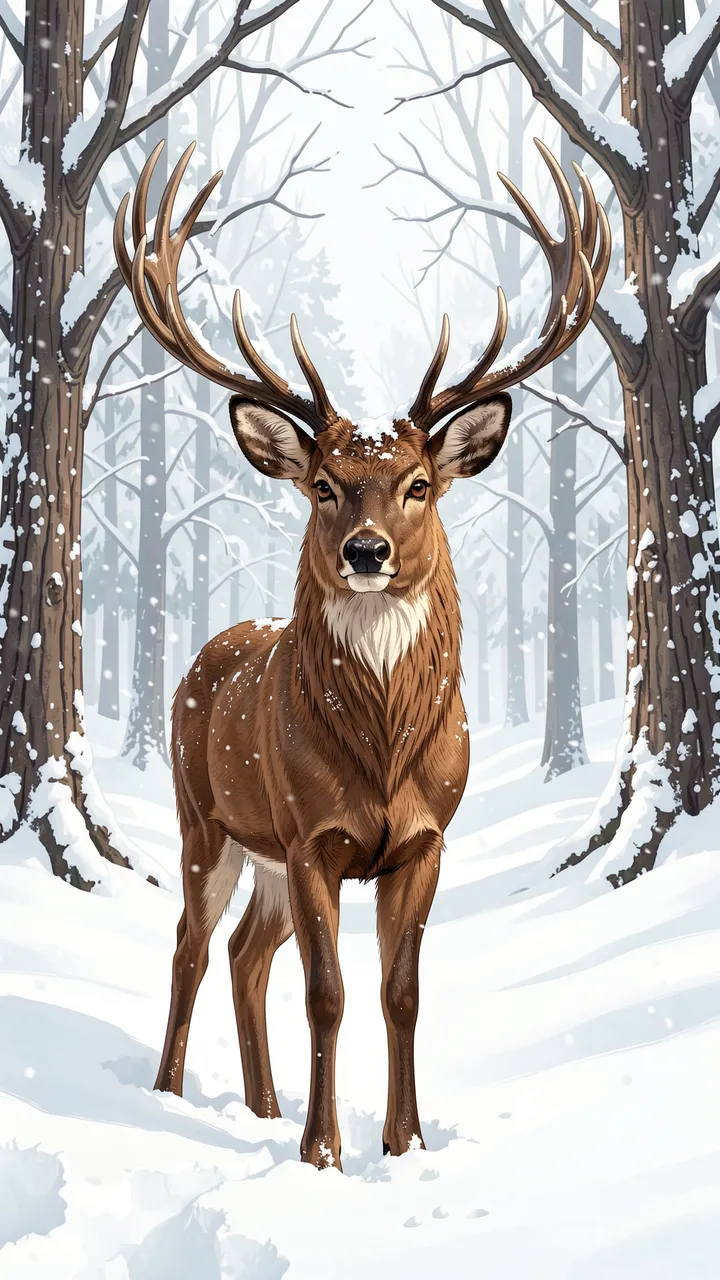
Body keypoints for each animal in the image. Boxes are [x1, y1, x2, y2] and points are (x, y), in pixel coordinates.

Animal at [114, 136, 609, 1171]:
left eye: (418, 482)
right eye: (324, 484)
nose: (368, 551)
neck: (380, 753)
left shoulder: (425, 838)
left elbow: (401, 993)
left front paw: (404, 1141)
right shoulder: (312, 835)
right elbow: (328, 992)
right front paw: (322, 1153)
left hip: (259, 850)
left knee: (243, 953)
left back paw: (259, 1108)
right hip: (207, 818)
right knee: (191, 943)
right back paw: (171, 1094)